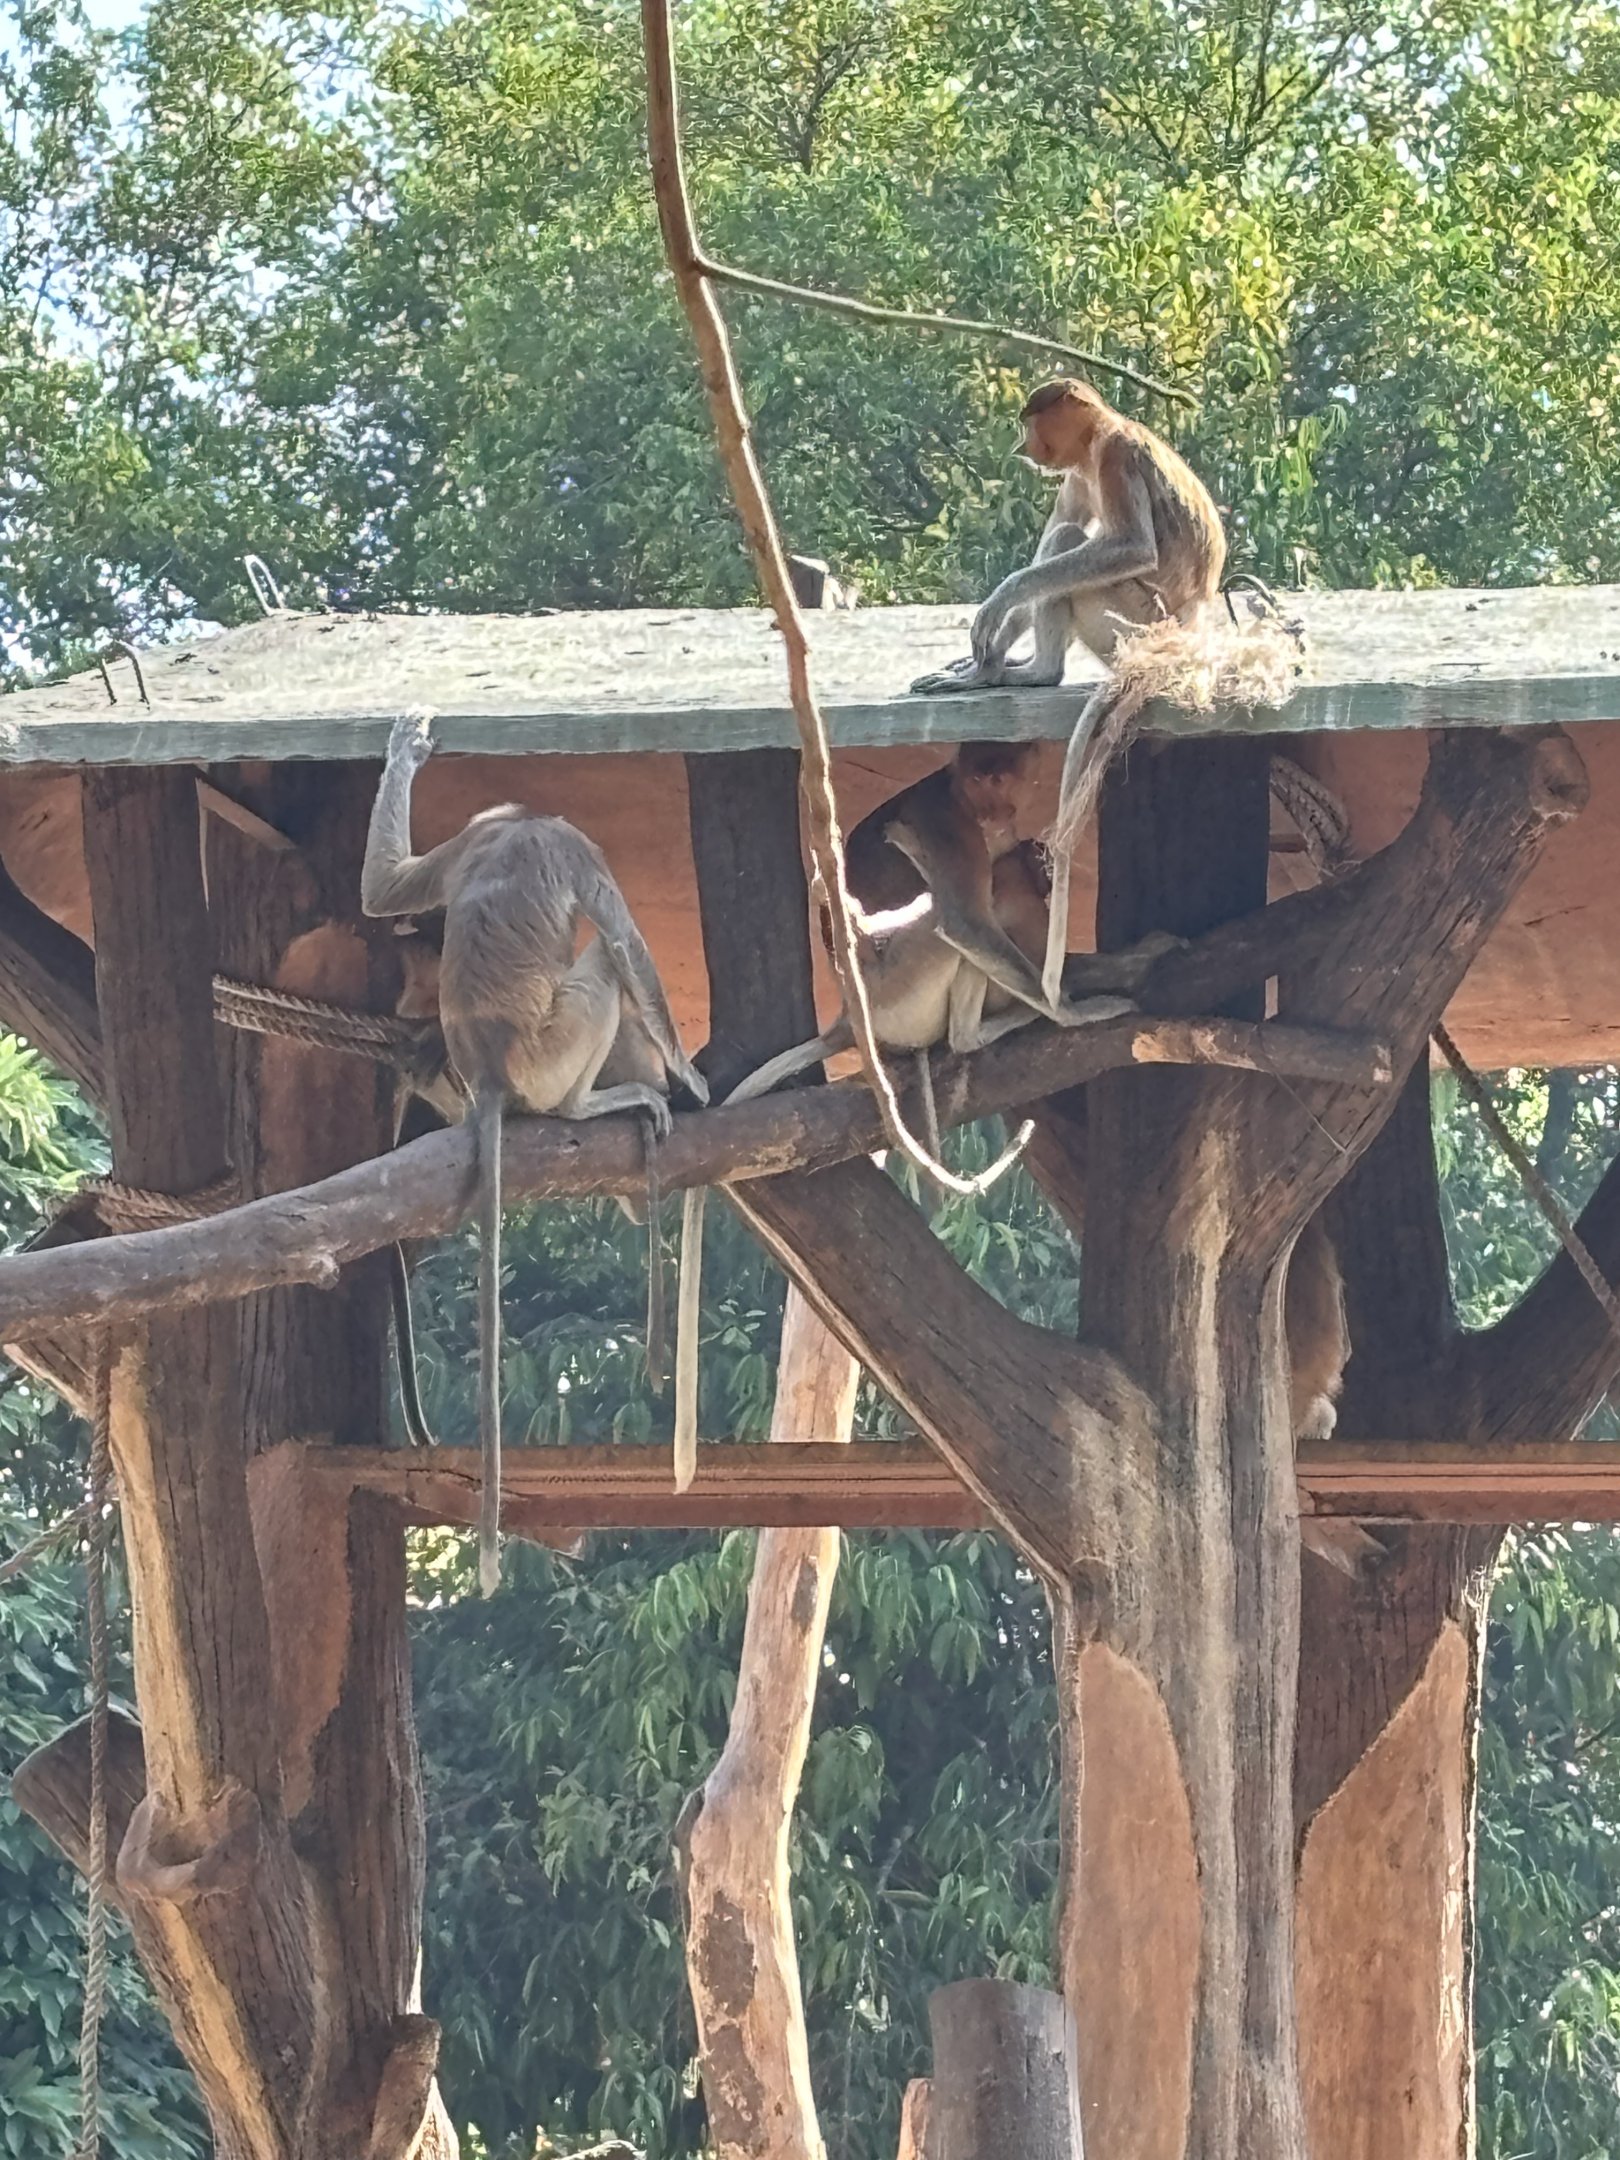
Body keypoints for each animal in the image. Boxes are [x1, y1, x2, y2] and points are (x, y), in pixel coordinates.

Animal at [361, 711, 708, 1595]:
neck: (517, 825)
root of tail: (489, 1071)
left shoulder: (474, 837)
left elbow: (384, 892)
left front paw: (406, 747)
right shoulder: (574, 845)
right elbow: (625, 941)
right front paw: (691, 1073)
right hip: (559, 1046)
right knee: (608, 967)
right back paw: (620, 1099)